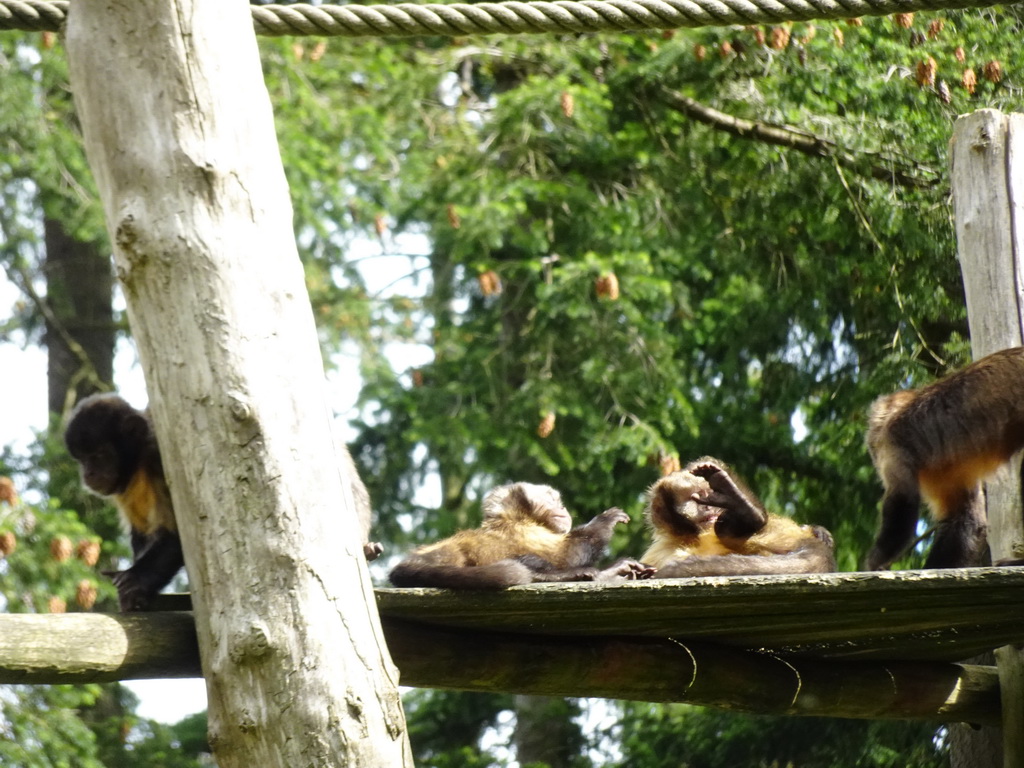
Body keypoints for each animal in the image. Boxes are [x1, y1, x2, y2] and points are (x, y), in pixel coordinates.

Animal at [387, 483, 651, 593]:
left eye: (558, 500)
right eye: (550, 499)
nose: (562, 507)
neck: (515, 517)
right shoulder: (523, 530)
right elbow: (568, 554)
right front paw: (606, 520)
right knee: (527, 562)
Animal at [643, 456, 835, 577]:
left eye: (707, 493)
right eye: (694, 497)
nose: (707, 506)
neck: (691, 536)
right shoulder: (660, 550)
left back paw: (744, 508)